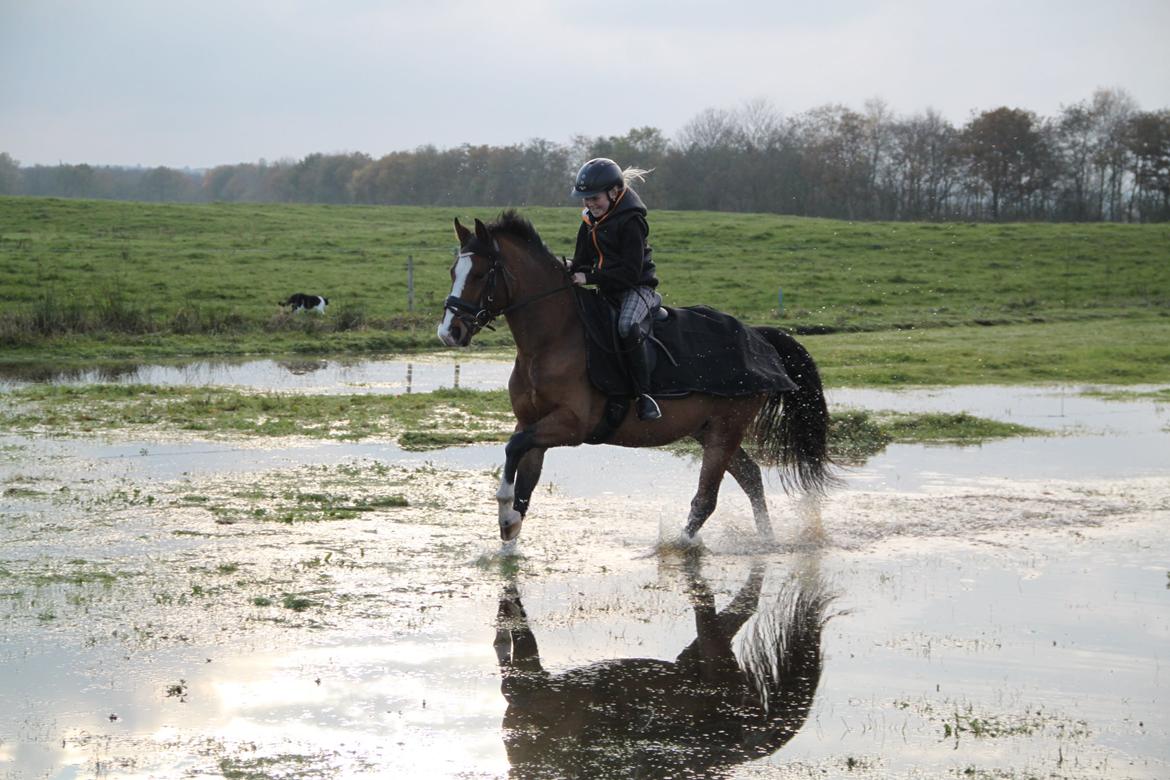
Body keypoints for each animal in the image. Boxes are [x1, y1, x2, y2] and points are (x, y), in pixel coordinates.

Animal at [439, 214, 833, 542]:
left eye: (479, 274)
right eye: (453, 272)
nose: (449, 332)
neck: (550, 341)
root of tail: (758, 336)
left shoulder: (571, 424)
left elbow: (513, 449)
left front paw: (504, 513)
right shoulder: (533, 422)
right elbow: (524, 481)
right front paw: (509, 539)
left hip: (726, 430)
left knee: (707, 498)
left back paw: (679, 546)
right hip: (708, 431)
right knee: (750, 477)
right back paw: (766, 540)